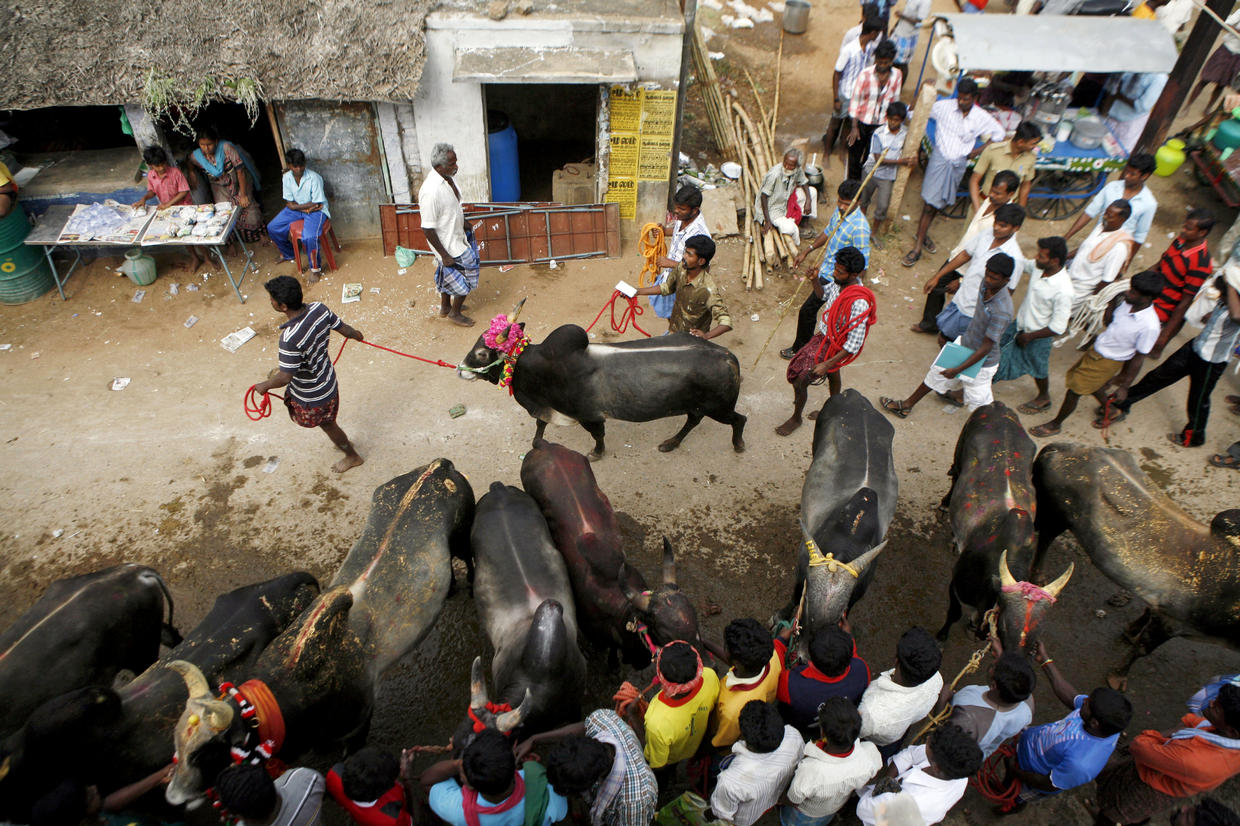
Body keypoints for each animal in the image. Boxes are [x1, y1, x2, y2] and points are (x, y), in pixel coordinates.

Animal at [458, 298, 739, 458]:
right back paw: (671, 443)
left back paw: (738, 444)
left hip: (719, 408)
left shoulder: (588, 416)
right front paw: (537, 442)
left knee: (738, 420)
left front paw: (596, 453)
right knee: (693, 421)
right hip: (699, 406)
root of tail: (728, 357)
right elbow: (540, 424)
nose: (460, 369)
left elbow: (598, 436)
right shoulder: (548, 407)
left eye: (482, 353)